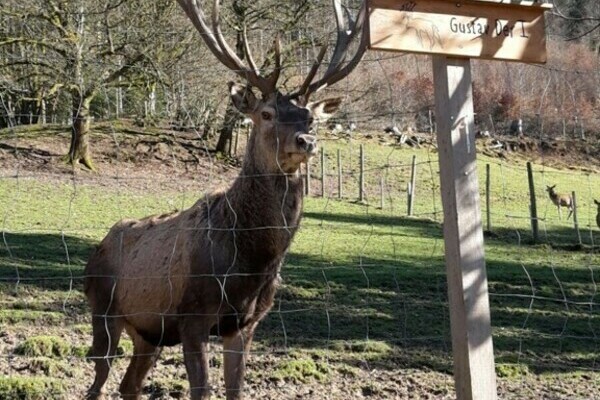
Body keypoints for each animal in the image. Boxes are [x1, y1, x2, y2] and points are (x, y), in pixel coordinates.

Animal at [82, 0, 368, 400]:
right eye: (266, 113)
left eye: (311, 117)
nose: (306, 141)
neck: (251, 263)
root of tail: (98, 247)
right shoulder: (192, 316)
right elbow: (201, 389)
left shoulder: (246, 324)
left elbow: (237, 389)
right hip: (103, 307)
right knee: (99, 376)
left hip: (148, 331)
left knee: (129, 385)